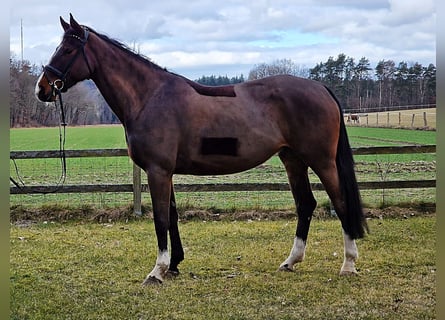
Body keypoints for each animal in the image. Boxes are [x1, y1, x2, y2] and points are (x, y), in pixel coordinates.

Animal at [36, 15, 366, 284]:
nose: (42, 88)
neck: (149, 97)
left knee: (340, 202)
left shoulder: (157, 171)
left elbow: (160, 219)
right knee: (305, 204)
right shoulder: (165, 172)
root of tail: (320, 88)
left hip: (322, 161)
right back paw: (291, 261)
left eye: (67, 50)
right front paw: (174, 265)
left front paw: (157, 271)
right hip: (293, 160)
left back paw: (348, 264)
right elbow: (172, 216)